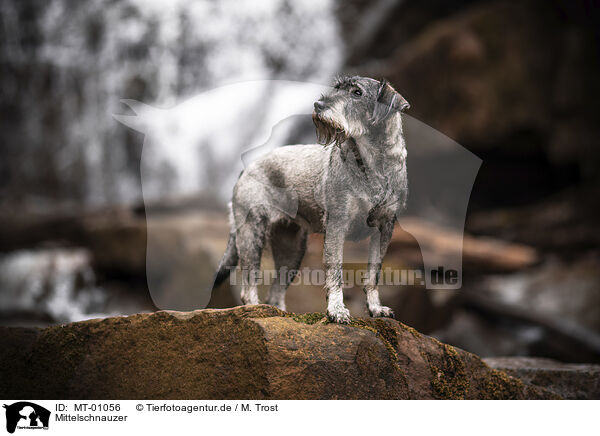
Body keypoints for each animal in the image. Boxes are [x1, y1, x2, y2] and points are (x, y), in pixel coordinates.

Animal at [212, 75, 412, 322]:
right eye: (337, 88)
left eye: (357, 92)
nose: (318, 105)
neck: (372, 166)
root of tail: (246, 169)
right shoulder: (337, 225)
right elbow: (335, 272)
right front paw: (337, 310)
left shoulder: (384, 228)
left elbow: (373, 274)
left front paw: (376, 309)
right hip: (252, 236)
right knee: (249, 287)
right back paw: (256, 310)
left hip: (291, 250)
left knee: (276, 292)